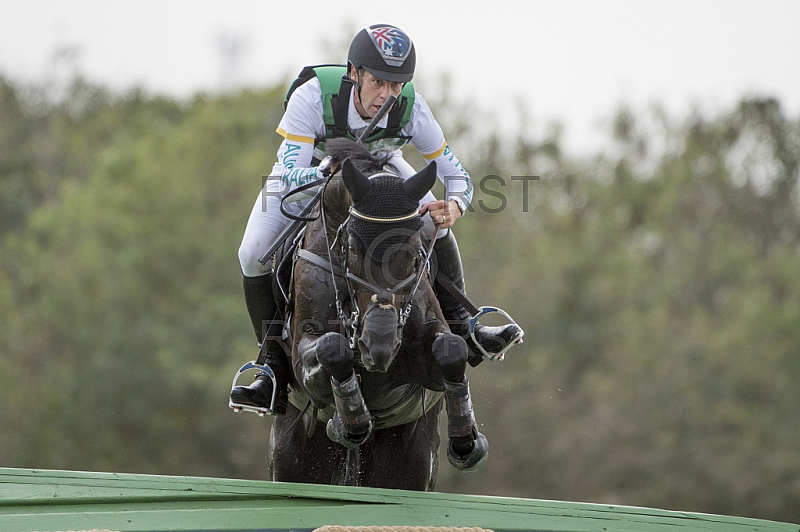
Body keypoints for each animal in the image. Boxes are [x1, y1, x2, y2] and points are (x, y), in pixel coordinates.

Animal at [270, 138, 488, 490]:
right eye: (352, 248)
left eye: (414, 254)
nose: (379, 347)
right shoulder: (304, 353)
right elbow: (333, 348)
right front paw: (351, 420)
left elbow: (451, 349)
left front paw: (466, 441)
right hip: (292, 458)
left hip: (410, 463)